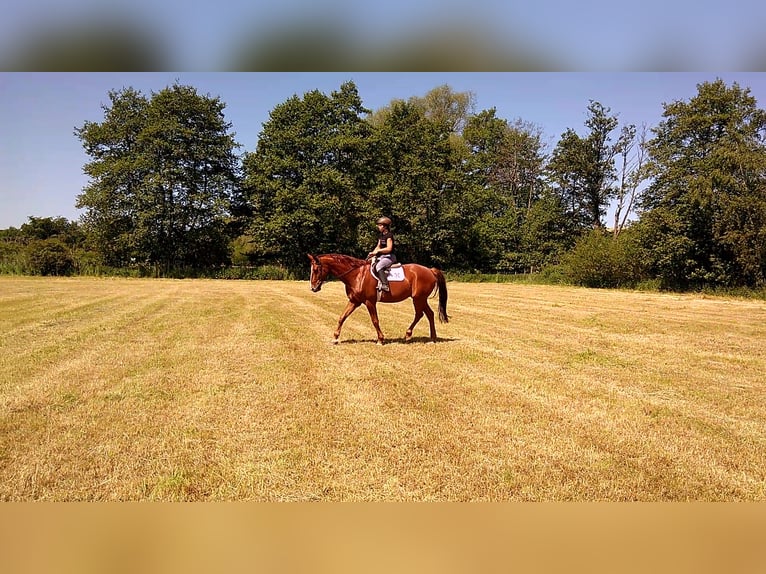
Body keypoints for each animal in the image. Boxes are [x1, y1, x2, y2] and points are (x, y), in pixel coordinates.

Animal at [307, 253, 449, 345]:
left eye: (316, 269)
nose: (313, 288)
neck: (356, 275)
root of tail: (430, 270)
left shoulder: (370, 302)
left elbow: (375, 320)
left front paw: (380, 339)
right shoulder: (354, 301)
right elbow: (342, 317)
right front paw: (335, 338)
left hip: (419, 299)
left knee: (424, 314)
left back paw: (425, 337)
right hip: (419, 299)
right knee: (426, 314)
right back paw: (424, 337)